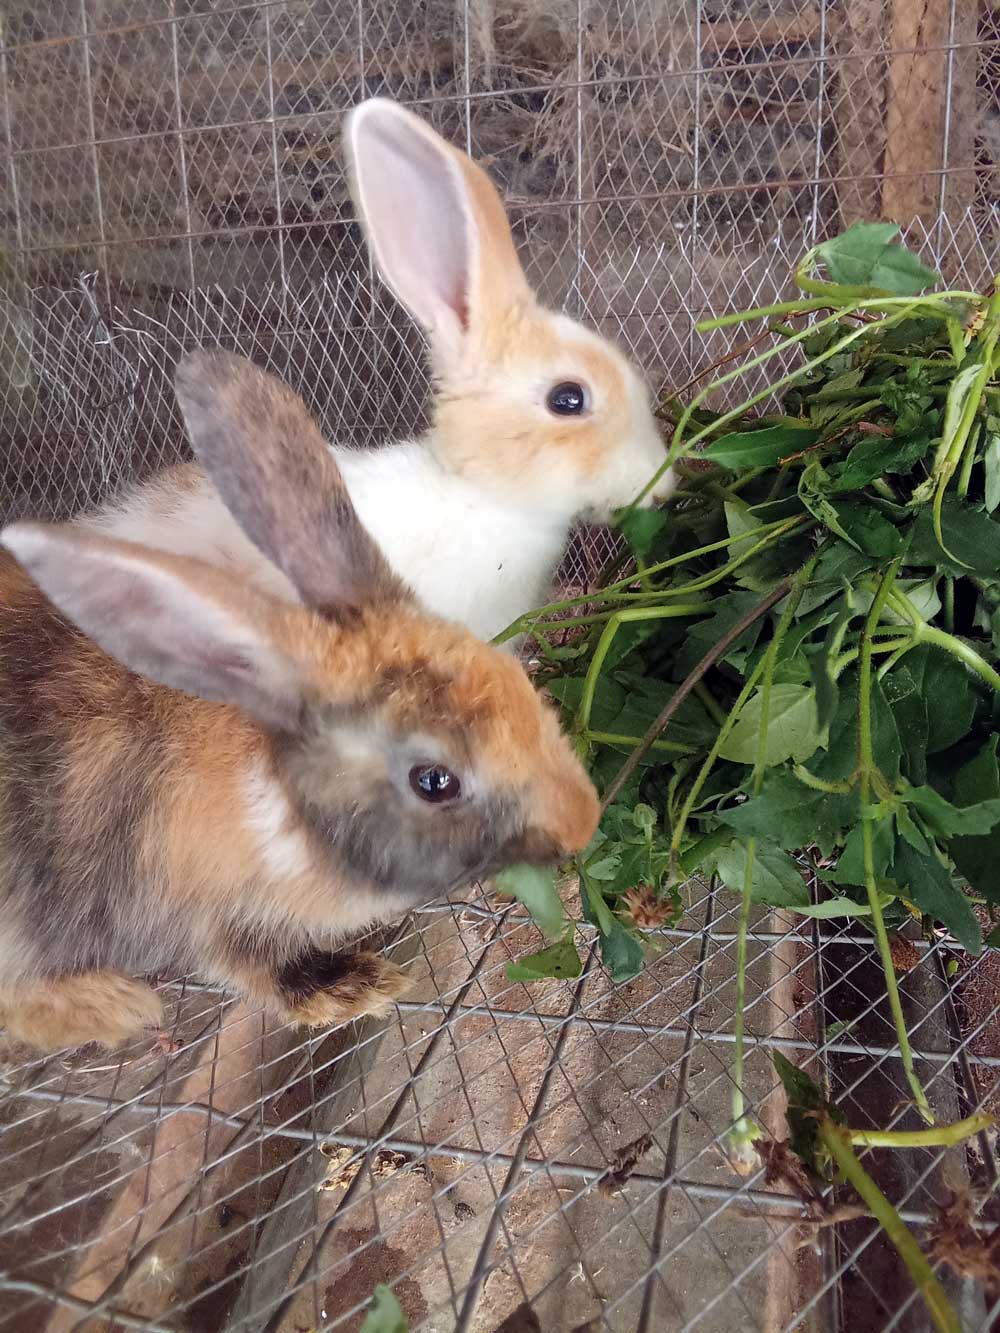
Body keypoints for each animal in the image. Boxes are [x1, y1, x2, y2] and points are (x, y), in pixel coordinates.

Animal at [0, 351, 600, 1053]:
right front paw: (355, 989)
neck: (280, 798)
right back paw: (118, 1004)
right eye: (434, 780)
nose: (583, 820)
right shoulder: (217, 914)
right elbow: (260, 967)